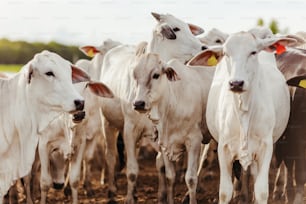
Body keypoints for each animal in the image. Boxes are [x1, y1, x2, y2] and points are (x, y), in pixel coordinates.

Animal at [0, 50, 89, 203]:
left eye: (69, 73)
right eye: (49, 73)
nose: (80, 103)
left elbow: (74, 180)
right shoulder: (43, 146)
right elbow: (44, 182)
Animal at [100, 12, 206, 204]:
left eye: (188, 27)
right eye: (176, 29)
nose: (204, 47)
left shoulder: (160, 133)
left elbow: (161, 165)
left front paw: (162, 195)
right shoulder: (129, 129)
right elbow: (132, 171)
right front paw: (129, 199)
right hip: (108, 124)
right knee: (110, 157)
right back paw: (112, 191)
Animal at [190, 32, 292, 203]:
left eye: (253, 52)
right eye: (226, 53)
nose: (236, 83)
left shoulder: (266, 148)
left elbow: (261, 191)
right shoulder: (224, 149)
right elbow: (225, 192)